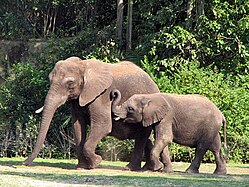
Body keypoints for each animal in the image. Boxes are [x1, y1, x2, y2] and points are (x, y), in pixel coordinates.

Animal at [23, 56, 160, 170]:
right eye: (50, 80)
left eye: (70, 83)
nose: (23, 163)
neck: (83, 65)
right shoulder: (78, 99)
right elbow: (78, 127)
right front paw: (81, 167)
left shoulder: (102, 95)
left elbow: (103, 125)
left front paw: (96, 162)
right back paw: (149, 168)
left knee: (141, 136)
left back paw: (131, 168)